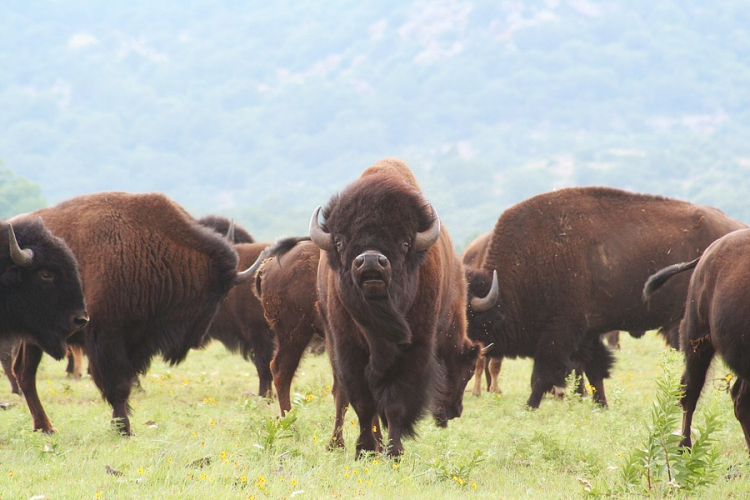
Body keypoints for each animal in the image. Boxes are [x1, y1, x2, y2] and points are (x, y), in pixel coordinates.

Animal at [11, 193, 262, 436]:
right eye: (218, 295)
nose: (198, 341)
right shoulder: (107, 338)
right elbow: (119, 385)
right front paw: (124, 428)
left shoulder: (135, 340)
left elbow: (127, 382)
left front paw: (122, 425)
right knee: (26, 374)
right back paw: (46, 426)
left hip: (33, 339)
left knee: (24, 373)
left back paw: (44, 426)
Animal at [312, 159, 482, 458]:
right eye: (340, 242)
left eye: (405, 243)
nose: (370, 261)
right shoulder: (348, 349)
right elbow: (363, 403)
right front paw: (364, 449)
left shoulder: (414, 349)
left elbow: (394, 404)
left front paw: (393, 452)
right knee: (341, 395)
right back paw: (338, 444)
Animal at [468, 186, 744, 408]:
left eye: (468, 317)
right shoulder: (586, 335)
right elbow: (594, 371)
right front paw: (601, 405)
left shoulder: (559, 332)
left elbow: (542, 375)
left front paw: (530, 406)